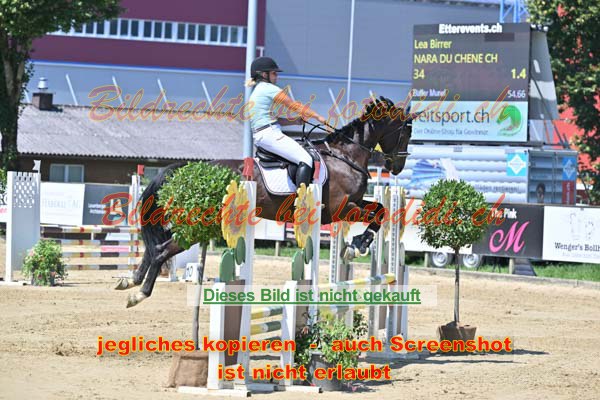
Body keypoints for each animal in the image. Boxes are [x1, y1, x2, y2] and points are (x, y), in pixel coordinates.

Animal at [117, 96, 413, 307]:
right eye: (406, 132)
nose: (397, 167)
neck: (346, 157)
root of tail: (189, 170)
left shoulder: (355, 203)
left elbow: (380, 209)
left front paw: (356, 245)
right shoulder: (342, 209)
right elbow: (377, 214)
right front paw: (357, 245)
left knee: (155, 247)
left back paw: (130, 281)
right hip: (197, 224)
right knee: (161, 250)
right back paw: (138, 294)